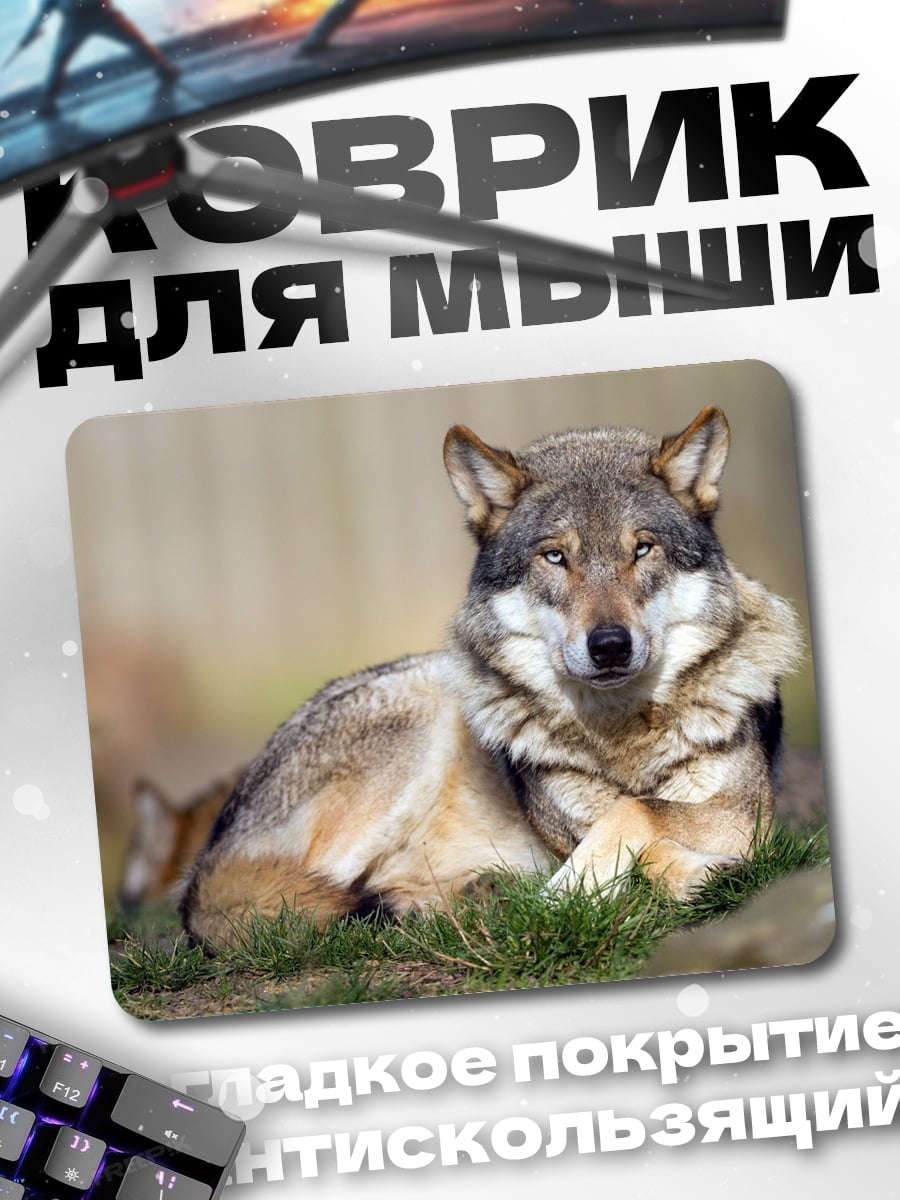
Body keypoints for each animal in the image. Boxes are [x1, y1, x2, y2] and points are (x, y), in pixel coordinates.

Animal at [181, 406, 802, 948]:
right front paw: (572, 895)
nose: (609, 646)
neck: (621, 735)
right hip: (418, 724)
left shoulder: (748, 811)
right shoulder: (574, 826)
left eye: (642, 549)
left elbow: (637, 813)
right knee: (274, 905)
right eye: (555, 557)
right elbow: (631, 822)